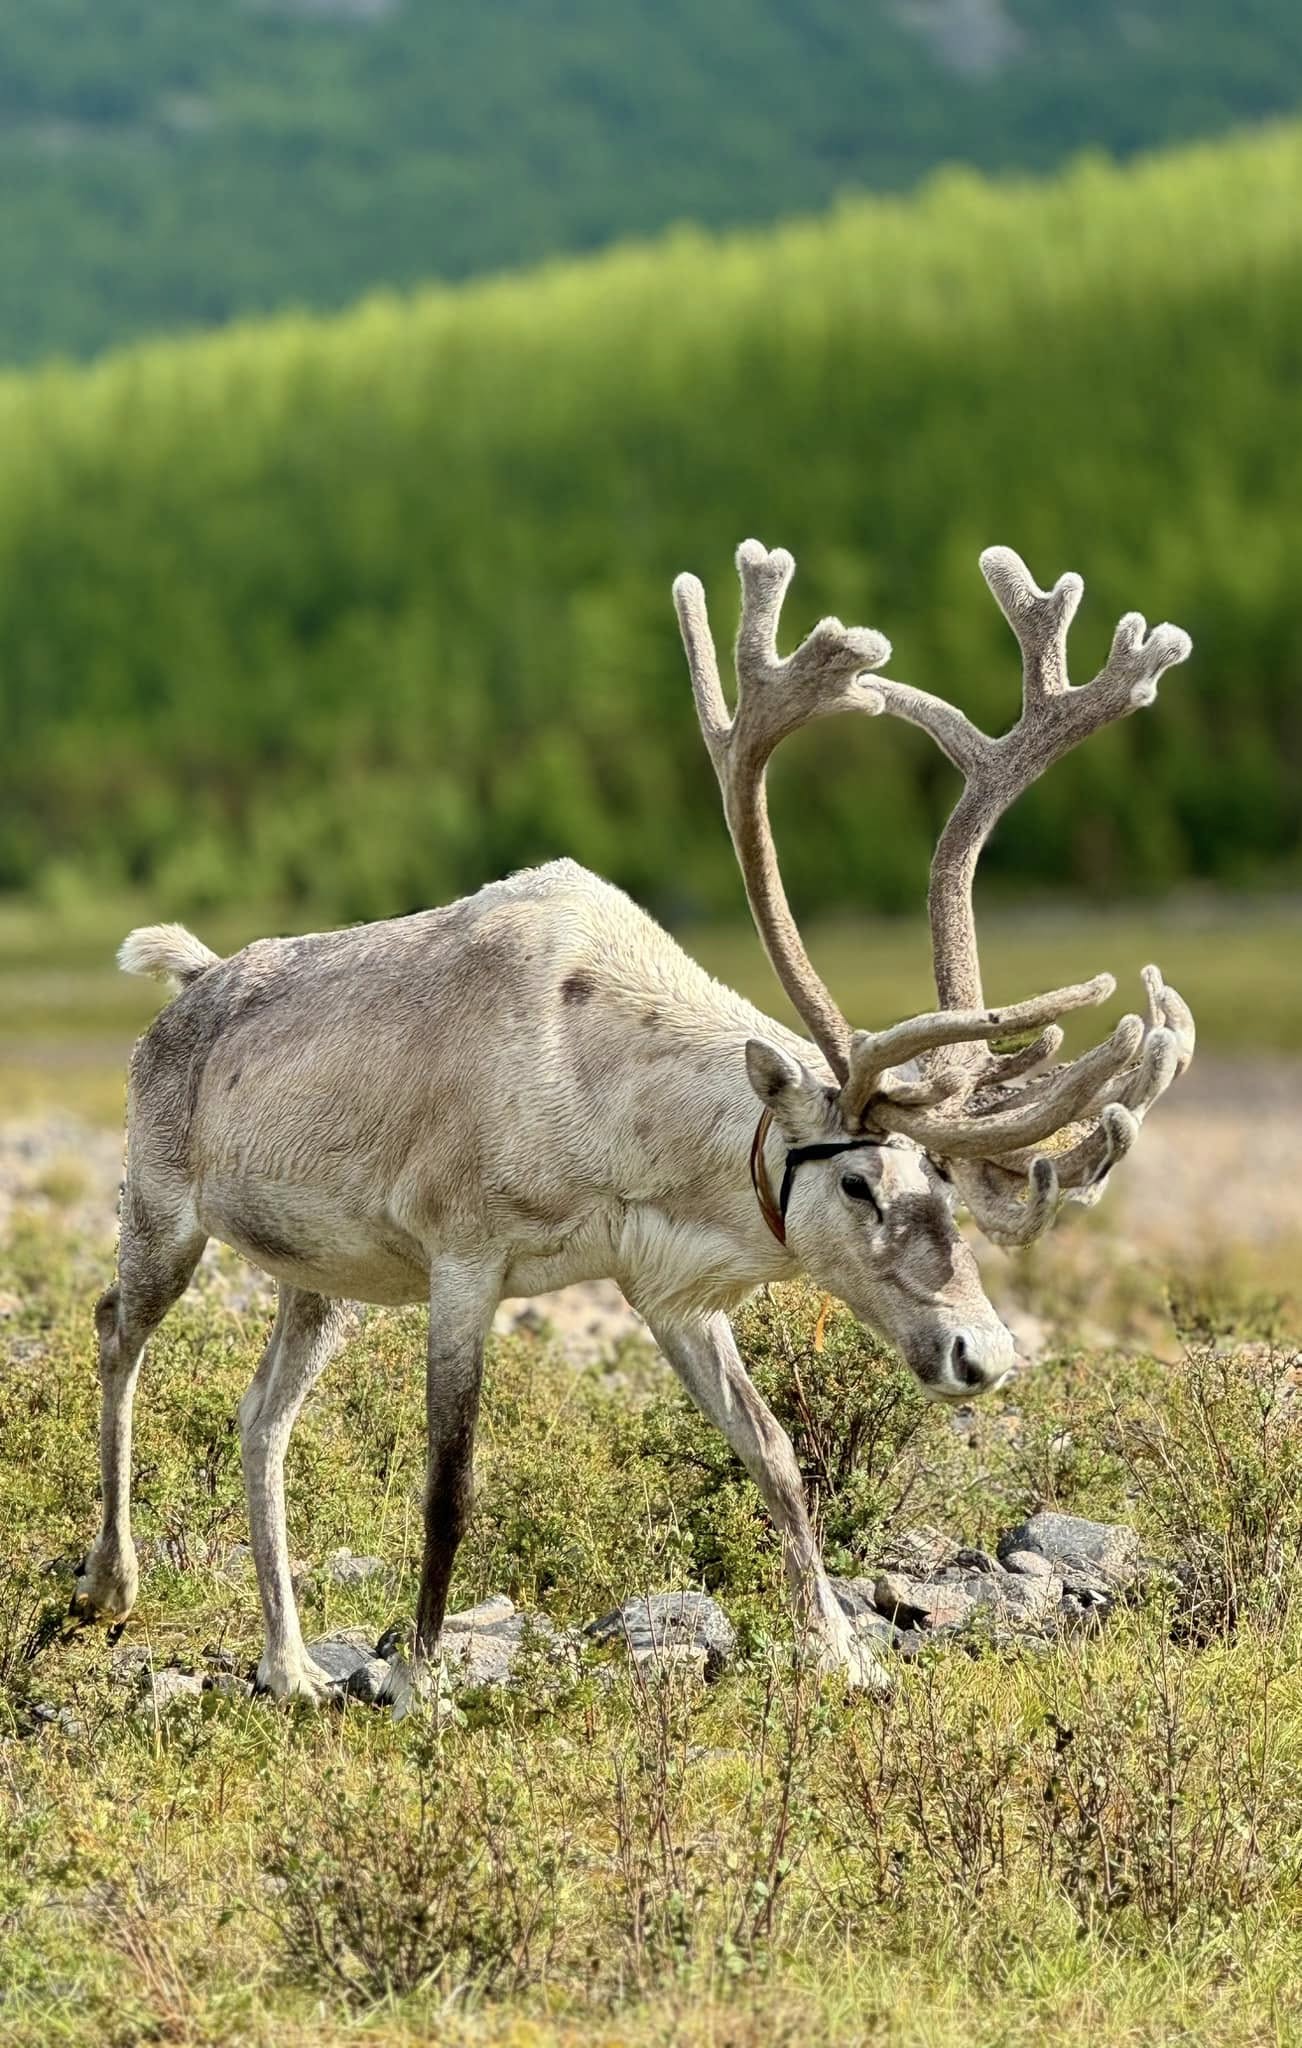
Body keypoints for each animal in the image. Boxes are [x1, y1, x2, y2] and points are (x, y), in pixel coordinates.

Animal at [72, 538, 1194, 1704]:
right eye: (857, 1181)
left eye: (945, 1189)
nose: (987, 1352)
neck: (616, 1127)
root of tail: (187, 980)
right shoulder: (464, 1256)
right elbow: (450, 1482)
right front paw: (420, 1679)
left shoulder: (668, 1287)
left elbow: (776, 1455)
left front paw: (843, 1652)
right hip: (162, 1202)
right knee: (114, 1327)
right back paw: (112, 1583)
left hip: (322, 1278)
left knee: (261, 1417)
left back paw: (289, 1663)